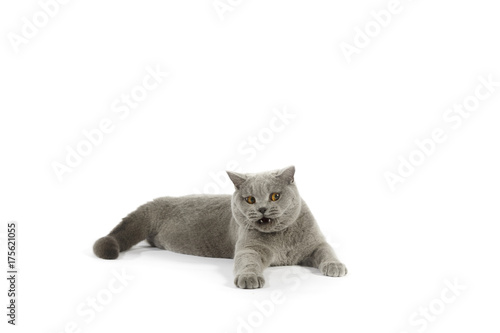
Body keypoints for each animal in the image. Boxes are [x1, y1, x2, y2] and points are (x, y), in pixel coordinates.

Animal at [94, 166, 346, 288]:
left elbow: (327, 252)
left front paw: (335, 266)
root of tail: (157, 201)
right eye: (250, 199)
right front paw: (249, 278)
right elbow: (248, 261)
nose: (263, 208)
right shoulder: (249, 247)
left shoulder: (316, 243)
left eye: (275, 196)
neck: (282, 237)